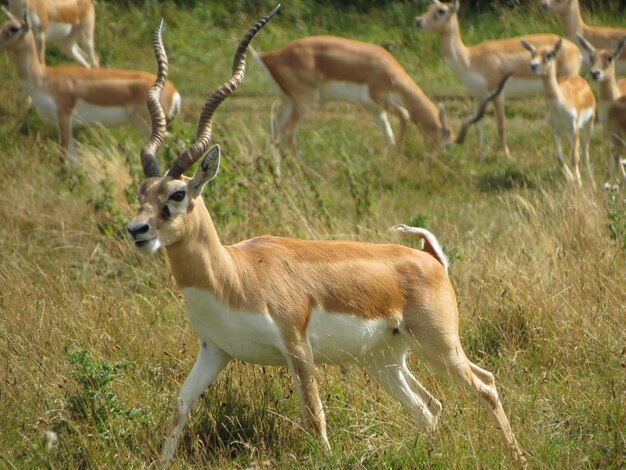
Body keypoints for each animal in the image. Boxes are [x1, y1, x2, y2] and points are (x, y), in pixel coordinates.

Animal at [0, 7, 180, 160]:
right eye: (4, 24)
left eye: (14, 28)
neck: (44, 78)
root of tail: (174, 92)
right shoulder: (68, 126)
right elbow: (72, 158)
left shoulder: (63, 118)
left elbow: (63, 155)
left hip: (148, 126)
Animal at [124, 6, 524, 466]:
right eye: (141, 193)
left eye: (178, 194)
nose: (137, 230)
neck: (234, 274)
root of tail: (430, 258)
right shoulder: (214, 350)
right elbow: (180, 405)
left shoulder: (298, 348)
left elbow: (315, 417)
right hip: (384, 360)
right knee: (429, 407)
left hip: (439, 348)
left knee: (486, 384)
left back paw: (517, 457)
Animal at [414, 0, 580, 160]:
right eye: (429, 8)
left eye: (441, 11)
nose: (418, 21)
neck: (470, 58)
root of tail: (575, 48)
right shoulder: (478, 96)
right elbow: (478, 126)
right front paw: (480, 158)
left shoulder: (497, 93)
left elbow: (501, 125)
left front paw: (507, 155)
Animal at [520, 37, 592, 185]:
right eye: (532, 53)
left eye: (549, 54)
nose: (533, 65)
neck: (560, 105)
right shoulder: (555, 129)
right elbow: (559, 157)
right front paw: (571, 179)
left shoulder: (574, 127)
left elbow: (574, 157)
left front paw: (579, 183)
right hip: (567, 133)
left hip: (588, 124)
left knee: (585, 149)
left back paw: (591, 180)